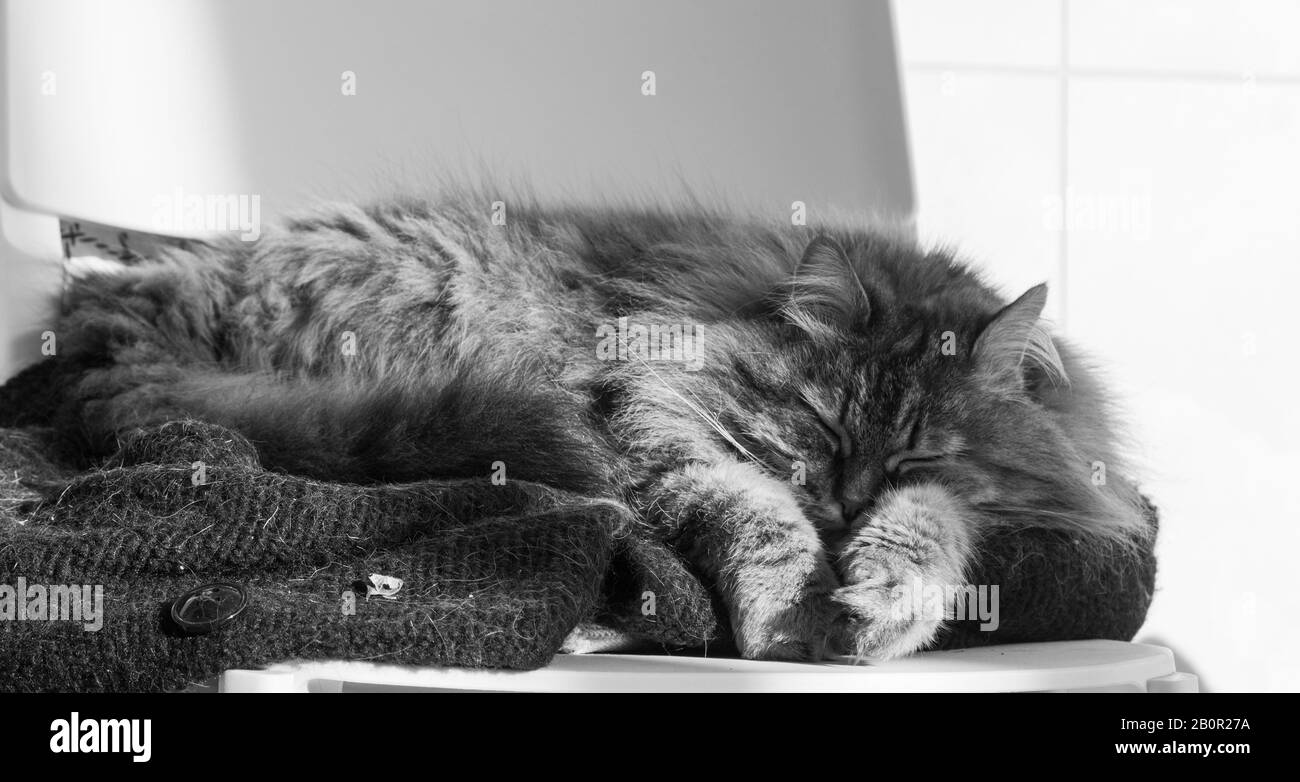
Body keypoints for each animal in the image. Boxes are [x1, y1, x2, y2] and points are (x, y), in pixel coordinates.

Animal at [48, 193, 1149, 657]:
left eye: (914, 449)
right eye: (817, 424)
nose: (844, 499)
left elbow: (936, 520)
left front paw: (880, 596)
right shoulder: (650, 422)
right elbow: (756, 516)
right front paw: (788, 613)